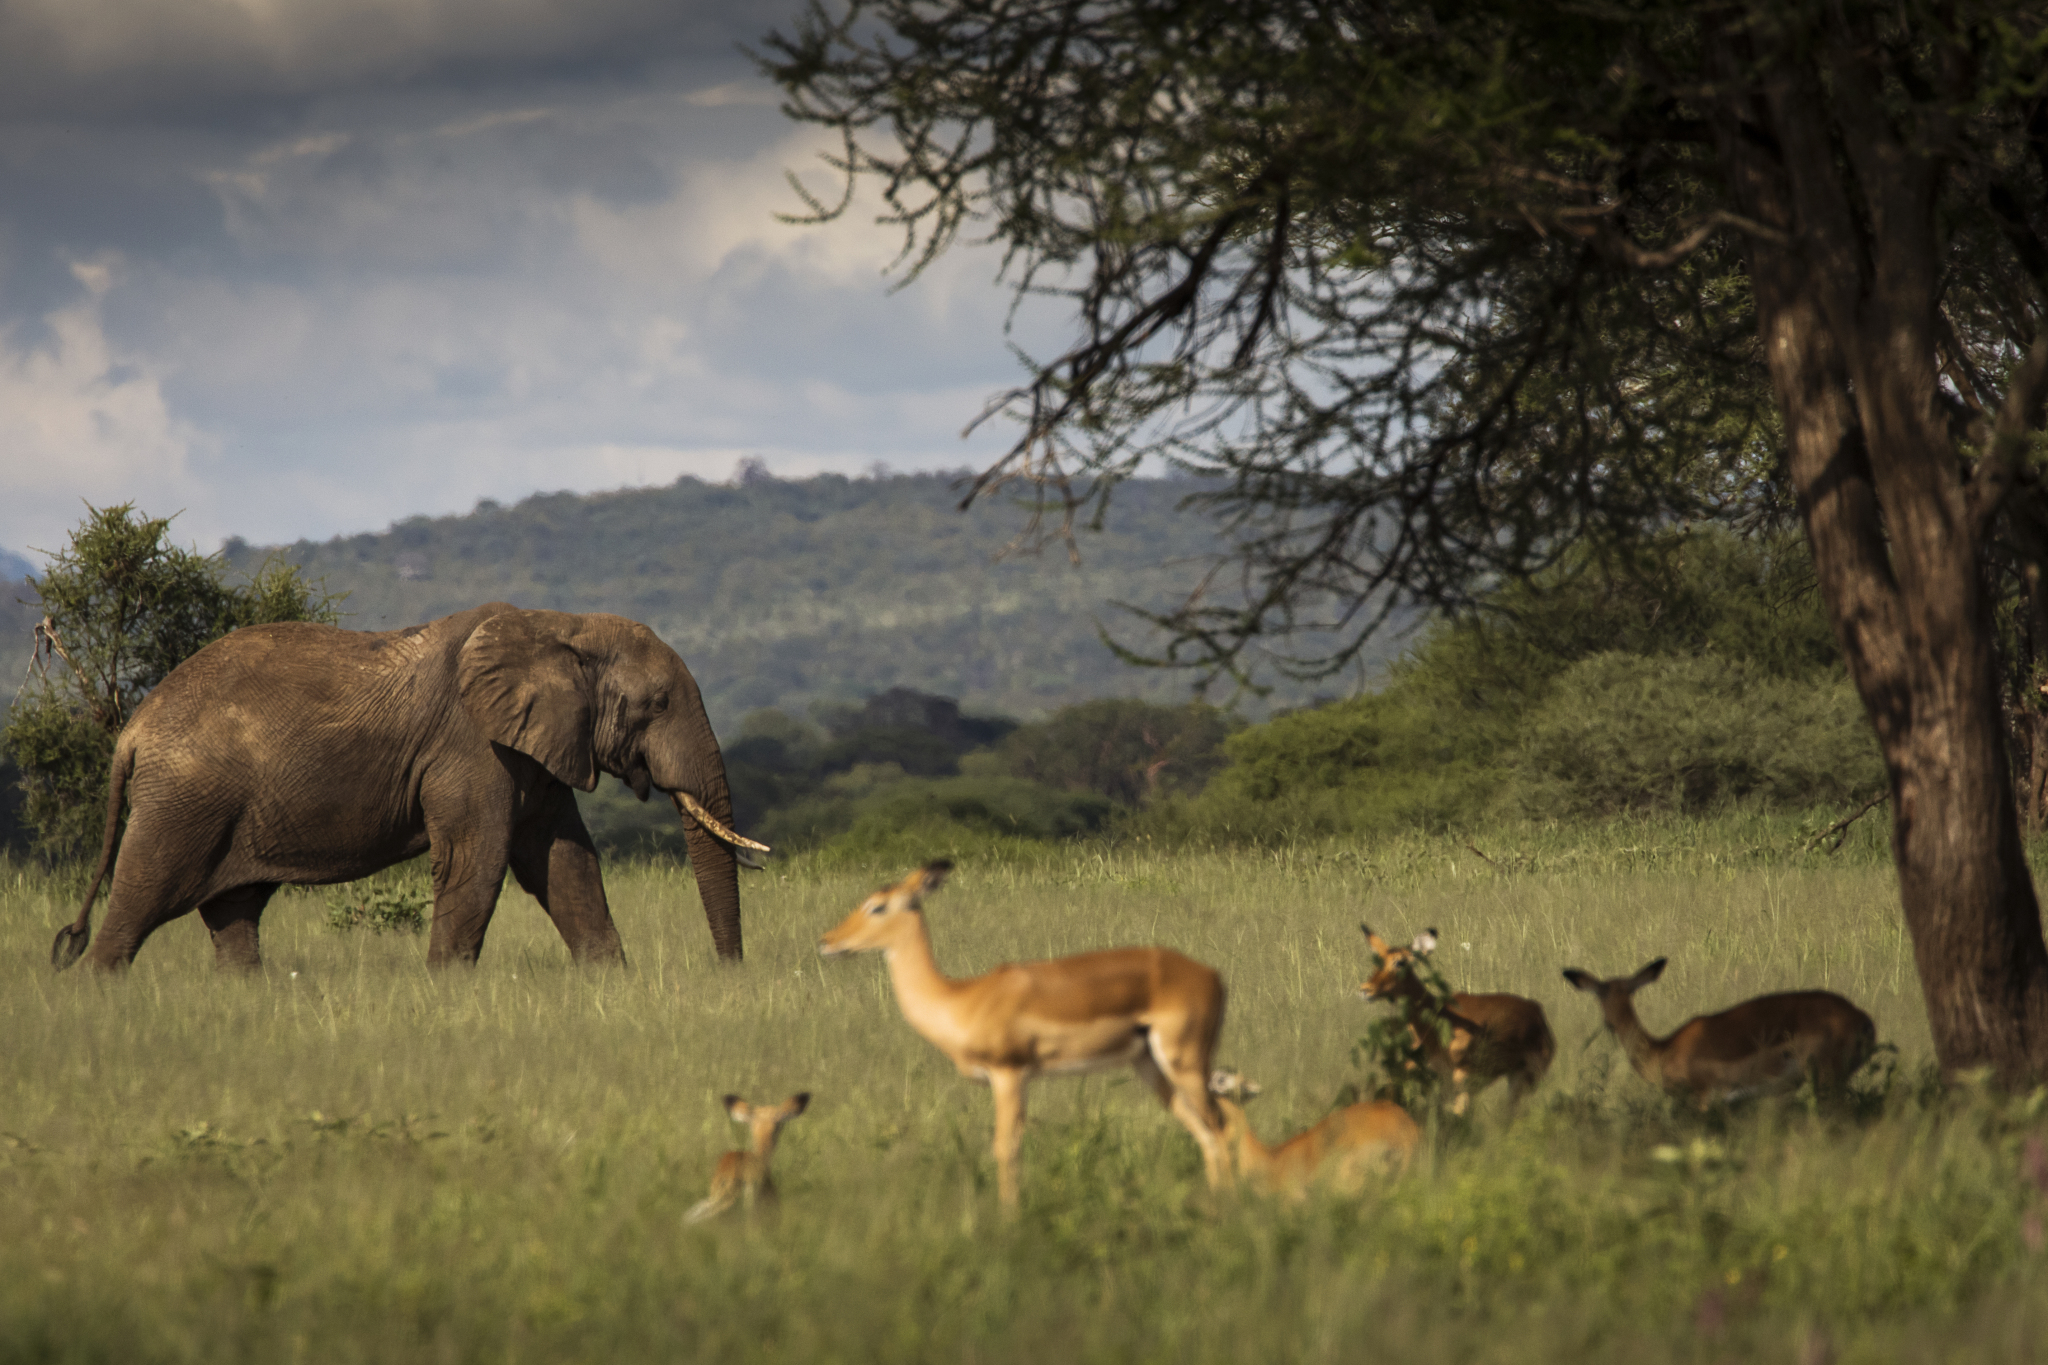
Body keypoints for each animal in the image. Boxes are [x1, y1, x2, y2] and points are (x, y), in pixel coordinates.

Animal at [49, 605, 770, 970]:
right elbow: (479, 860)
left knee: (234, 915)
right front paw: (448, 992)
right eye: (657, 704)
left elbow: (564, 863)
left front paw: (609, 984)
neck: (560, 625)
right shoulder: (471, 747)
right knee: (142, 899)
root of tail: (133, 730)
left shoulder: (534, 751)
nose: (729, 975)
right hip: (183, 801)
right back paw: (98, 991)